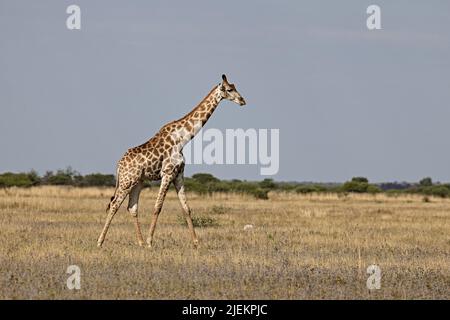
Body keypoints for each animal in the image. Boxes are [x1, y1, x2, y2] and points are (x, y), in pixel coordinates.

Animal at [96, 74, 248, 248]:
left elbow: (186, 208)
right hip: (127, 181)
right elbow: (158, 206)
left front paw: (196, 243)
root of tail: (119, 165)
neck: (183, 139)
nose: (243, 100)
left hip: (138, 182)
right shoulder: (167, 173)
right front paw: (150, 242)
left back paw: (139, 242)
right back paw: (100, 242)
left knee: (132, 207)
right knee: (114, 204)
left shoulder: (179, 174)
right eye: (229, 89)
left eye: (235, 87)